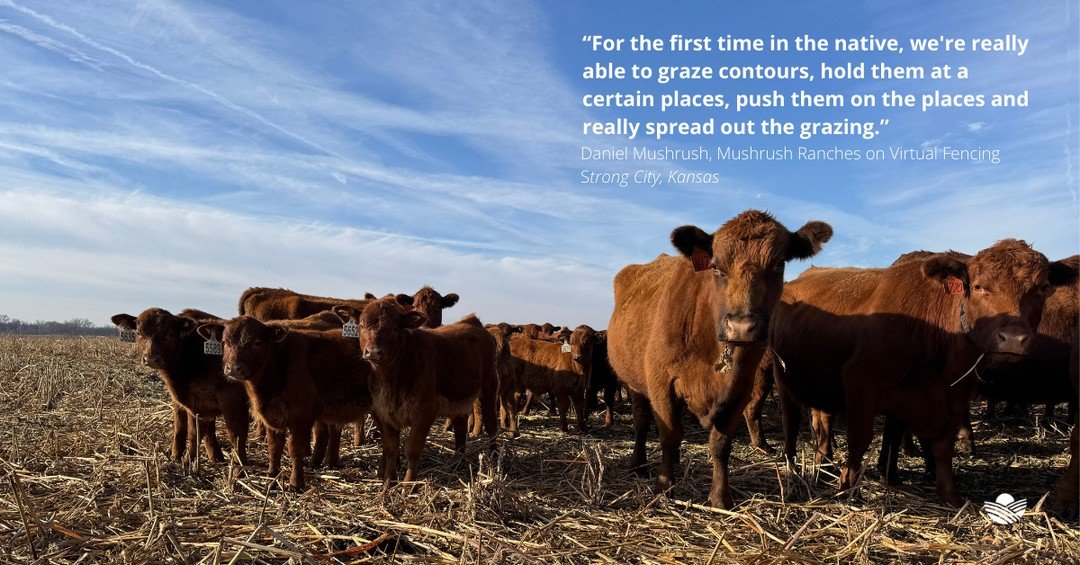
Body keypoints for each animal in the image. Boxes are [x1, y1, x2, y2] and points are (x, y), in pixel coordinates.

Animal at [111, 308, 249, 467]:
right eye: (139, 333)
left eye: (170, 334)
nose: (151, 359)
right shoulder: (190, 402)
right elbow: (184, 428)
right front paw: (183, 457)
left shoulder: (229, 400)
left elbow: (231, 434)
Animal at [196, 317, 372, 490]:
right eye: (225, 342)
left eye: (257, 342)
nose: (233, 368)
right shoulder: (272, 419)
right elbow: (274, 449)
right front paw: (271, 479)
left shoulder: (300, 417)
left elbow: (294, 449)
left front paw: (296, 483)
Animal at [355, 298, 498, 485]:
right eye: (361, 326)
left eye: (394, 328)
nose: (372, 351)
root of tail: (474, 323)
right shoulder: (384, 411)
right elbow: (391, 448)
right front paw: (388, 483)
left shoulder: (426, 410)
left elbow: (412, 449)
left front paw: (409, 485)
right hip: (459, 395)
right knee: (460, 426)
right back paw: (457, 462)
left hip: (490, 387)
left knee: (491, 424)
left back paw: (495, 460)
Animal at [608, 210, 833, 508]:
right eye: (716, 267)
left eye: (778, 265)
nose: (741, 326)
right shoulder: (660, 382)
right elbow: (669, 434)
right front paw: (664, 485)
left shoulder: (740, 389)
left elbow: (721, 444)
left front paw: (720, 496)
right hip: (634, 383)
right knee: (642, 421)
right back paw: (637, 463)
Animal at [770, 240, 1077, 505]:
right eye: (978, 286)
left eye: (1043, 287)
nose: (1013, 338)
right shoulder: (861, 383)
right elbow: (860, 439)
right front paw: (848, 487)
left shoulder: (952, 396)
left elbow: (942, 445)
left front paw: (949, 493)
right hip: (782, 377)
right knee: (790, 420)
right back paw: (792, 462)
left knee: (822, 418)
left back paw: (824, 461)